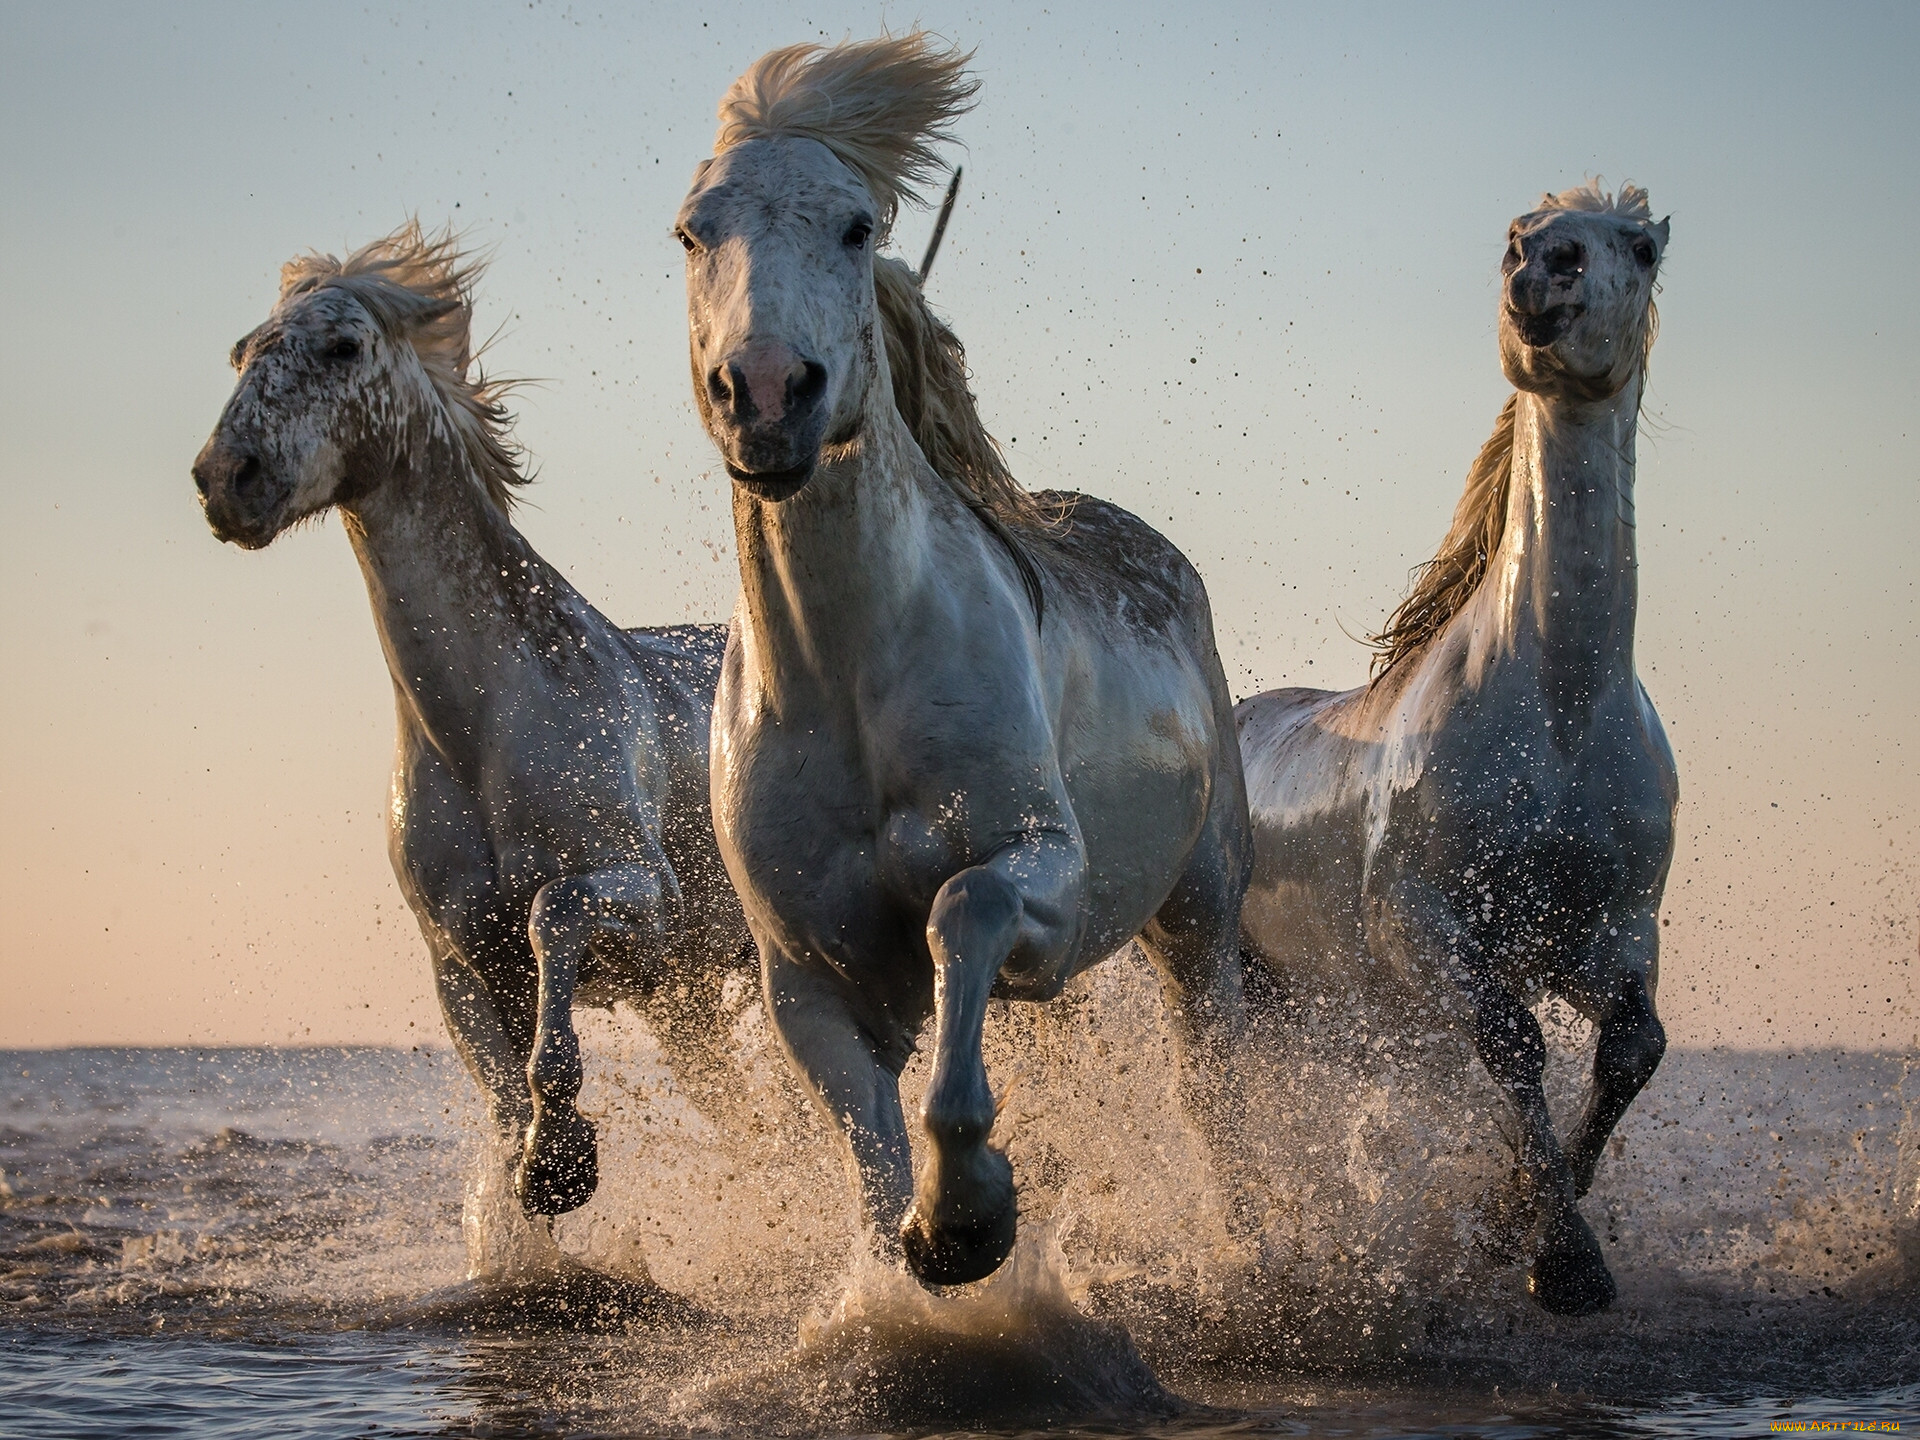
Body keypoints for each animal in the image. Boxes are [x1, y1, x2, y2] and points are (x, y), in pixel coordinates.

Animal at [683, 33, 1251, 1290]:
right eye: (693, 230)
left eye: (855, 226)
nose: (765, 395)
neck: (852, 679)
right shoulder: (807, 977)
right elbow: (871, 1154)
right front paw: (919, 1245)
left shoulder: (1042, 874)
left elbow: (963, 913)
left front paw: (969, 1217)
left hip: (1201, 918)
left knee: (1216, 1086)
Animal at [1236, 186, 1674, 1328]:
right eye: (1517, 236)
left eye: (1640, 246)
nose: (1546, 273)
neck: (1559, 709)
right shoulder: (1426, 929)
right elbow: (1515, 1044)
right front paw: (1561, 1261)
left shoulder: (1607, 934)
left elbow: (1632, 1050)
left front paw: (1510, 1219)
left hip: (1332, 1014)